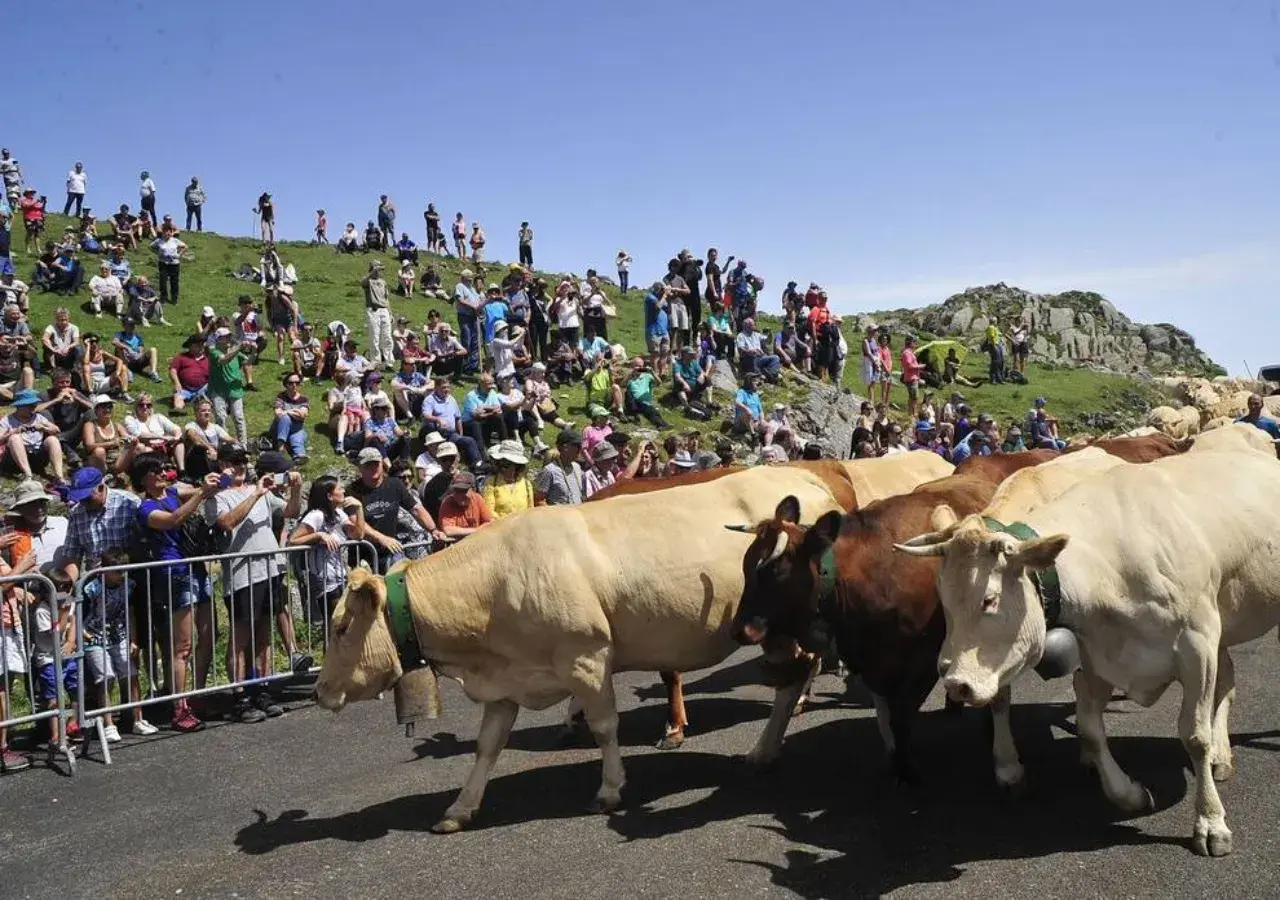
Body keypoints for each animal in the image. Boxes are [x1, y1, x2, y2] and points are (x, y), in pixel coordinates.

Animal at [737, 460, 1044, 783]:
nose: (739, 630)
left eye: (777, 572)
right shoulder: (872, 662)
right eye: (746, 565)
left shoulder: (922, 663)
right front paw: (897, 760)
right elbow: (886, 714)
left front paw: (908, 769)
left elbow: (900, 719)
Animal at [896, 453, 1280, 855]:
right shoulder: (1099, 656)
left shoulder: (1197, 646)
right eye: (943, 600)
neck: (1112, 566)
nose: (955, 683)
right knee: (1228, 679)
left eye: (989, 599)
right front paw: (1129, 794)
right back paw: (1222, 753)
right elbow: (1091, 729)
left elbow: (1194, 736)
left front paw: (1210, 822)